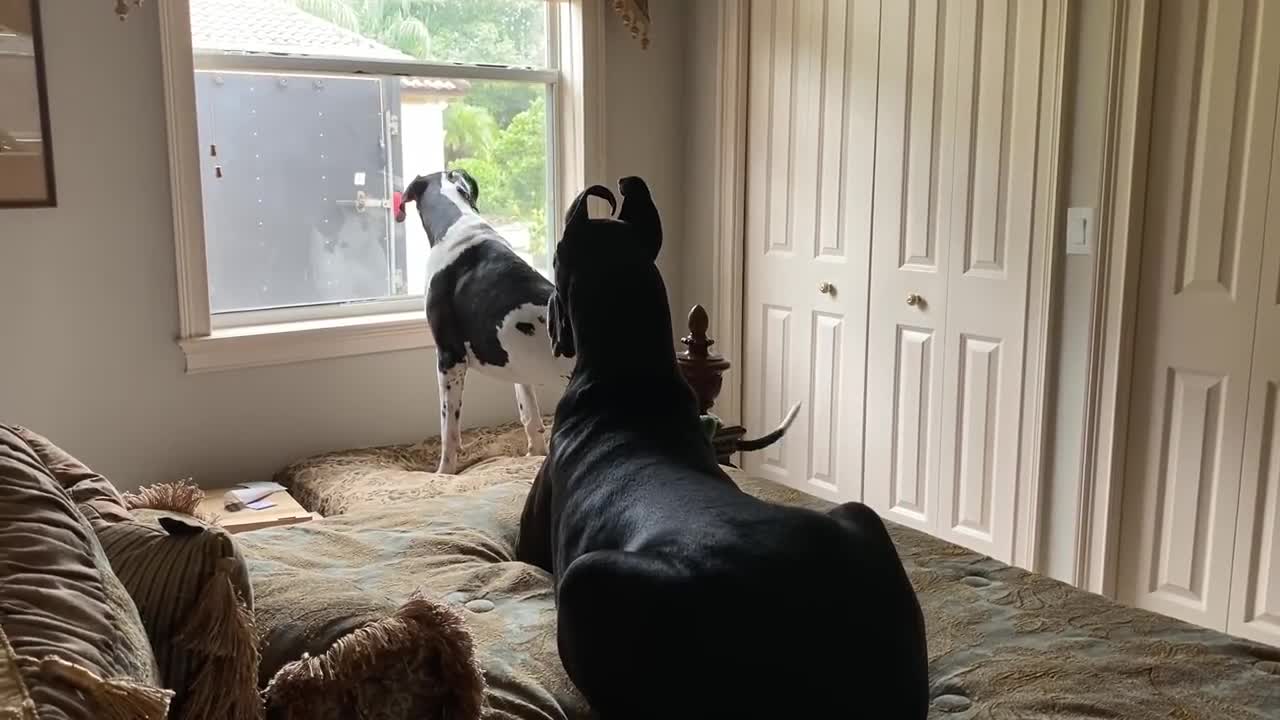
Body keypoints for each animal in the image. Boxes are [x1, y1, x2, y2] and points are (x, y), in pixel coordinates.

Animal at [391, 167, 568, 471]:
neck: (457, 222)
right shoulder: (519, 367)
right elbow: (530, 416)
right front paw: (534, 454)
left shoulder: (450, 359)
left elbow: (449, 432)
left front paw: (444, 473)